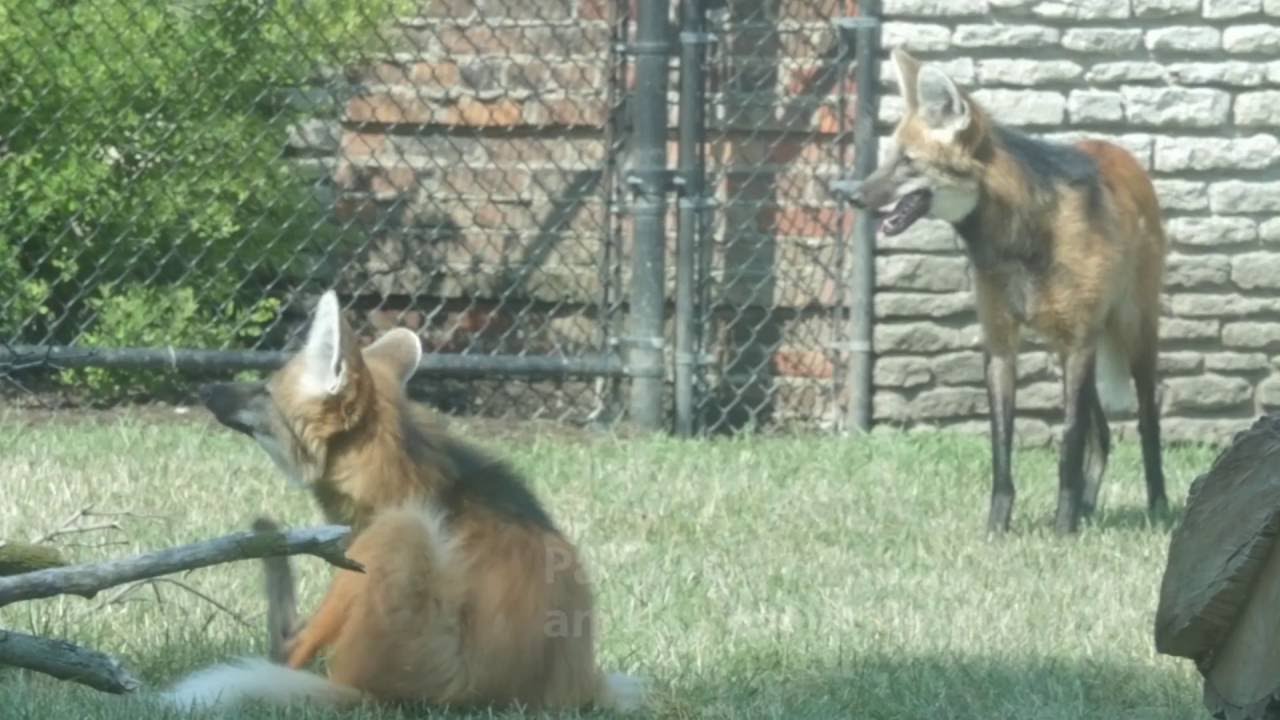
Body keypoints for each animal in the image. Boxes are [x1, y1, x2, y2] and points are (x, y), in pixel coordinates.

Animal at [841, 48, 1169, 534]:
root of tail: (1121, 151)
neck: (1018, 241)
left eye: (908, 162)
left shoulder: (1078, 342)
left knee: (1147, 421)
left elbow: (1068, 444)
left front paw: (1062, 531)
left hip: (1130, 334)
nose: (850, 195)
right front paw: (998, 529)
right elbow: (1002, 448)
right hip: (1069, 348)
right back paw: (1089, 506)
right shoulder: (1002, 344)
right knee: (1104, 433)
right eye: (888, 159)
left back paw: (1158, 508)